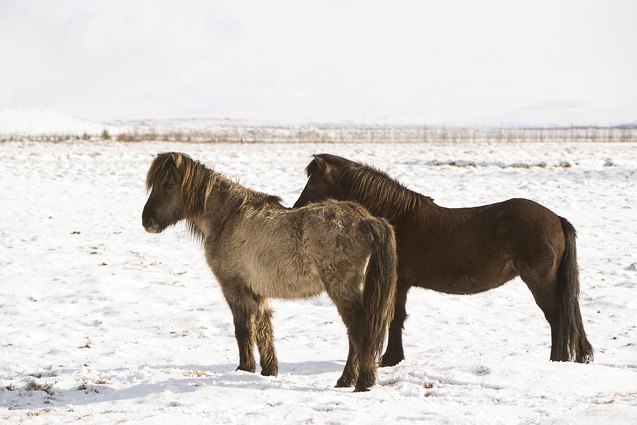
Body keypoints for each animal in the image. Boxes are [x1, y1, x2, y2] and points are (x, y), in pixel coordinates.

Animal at [142, 152, 396, 390]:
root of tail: (365, 220)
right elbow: (263, 327)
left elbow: (243, 328)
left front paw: (244, 369)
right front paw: (269, 370)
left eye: (168, 185)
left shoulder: (233, 287)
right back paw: (348, 380)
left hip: (342, 290)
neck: (227, 218)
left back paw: (360, 381)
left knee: (359, 331)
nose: (147, 221)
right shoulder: (256, 290)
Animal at [294, 154, 592, 366]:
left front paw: (390, 359)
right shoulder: (402, 285)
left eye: (313, 182)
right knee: (571, 314)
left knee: (557, 317)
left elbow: (395, 318)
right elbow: (398, 318)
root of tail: (556, 218)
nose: (295, 210)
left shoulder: (398, 283)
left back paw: (556, 359)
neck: (397, 218)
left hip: (539, 280)